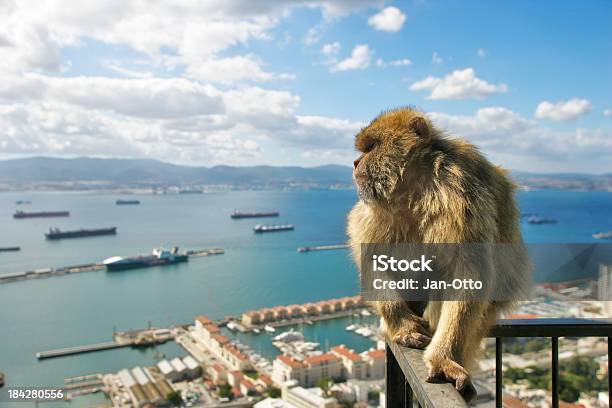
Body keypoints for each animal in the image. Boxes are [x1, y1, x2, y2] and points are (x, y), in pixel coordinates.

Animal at [350, 107, 532, 400]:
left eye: (372, 147)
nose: (356, 163)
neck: (414, 190)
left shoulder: (460, 191)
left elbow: (469, 274)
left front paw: (444, 359)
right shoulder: (374, 208)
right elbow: (372, 256)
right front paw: (403, 327)